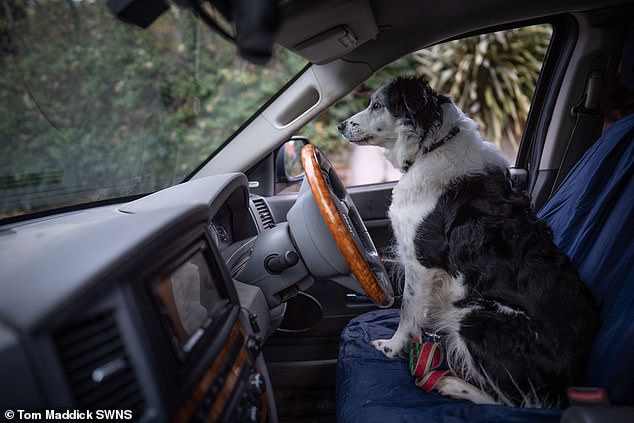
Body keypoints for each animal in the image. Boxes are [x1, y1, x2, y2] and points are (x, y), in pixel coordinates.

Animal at [336, 76, 596, 408]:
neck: (431, 146)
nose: (340, 126)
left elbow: (407, 310)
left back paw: (452, 385)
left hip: (478, 317)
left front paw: (393, 347)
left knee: (514, 402)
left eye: (377, 104)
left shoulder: (421, 261)